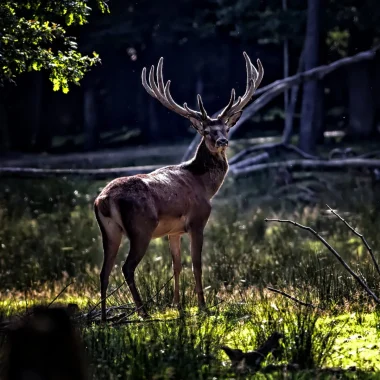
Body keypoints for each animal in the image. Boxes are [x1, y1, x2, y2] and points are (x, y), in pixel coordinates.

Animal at [93, 51, 262, 320]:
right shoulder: (197, 220)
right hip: (141, 227)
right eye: (206, 131)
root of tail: (104, 199)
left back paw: (103, 317)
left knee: (104, 270)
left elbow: (176, 265)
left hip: (109, 231)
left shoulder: (173, 231)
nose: (222, 141)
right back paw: (143, 312)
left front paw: (177, 305)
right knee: (126, 267)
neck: (204, 186)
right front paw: (202, 306)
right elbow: (196, 264)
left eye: (225, 128)